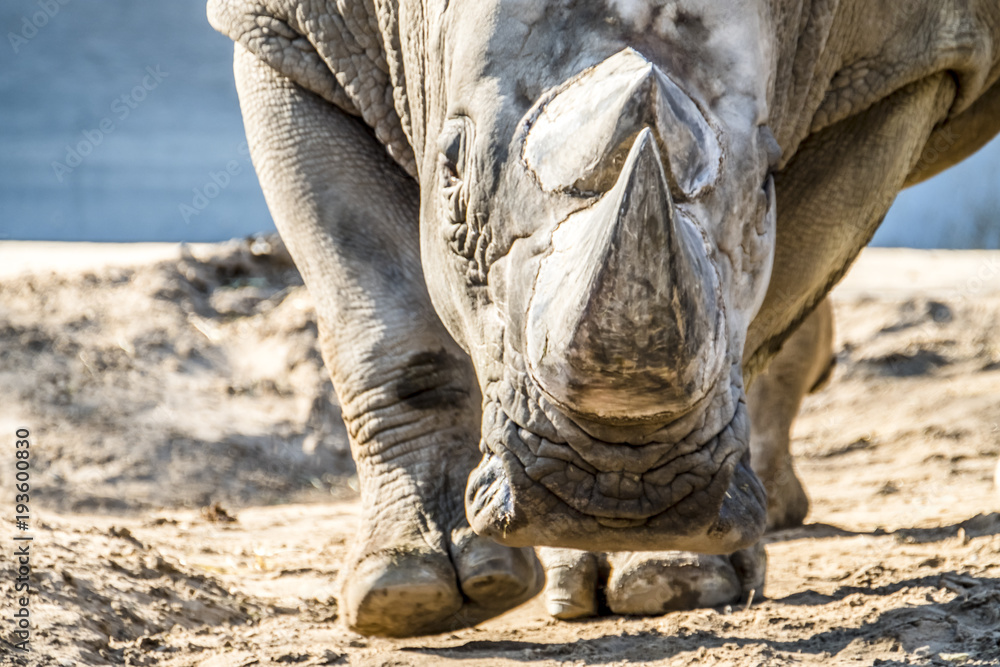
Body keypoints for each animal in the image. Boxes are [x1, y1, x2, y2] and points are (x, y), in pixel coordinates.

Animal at [208, 0, 1000, 636]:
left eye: (766, 189)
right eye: (452, 169)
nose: (615, 486)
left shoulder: (906, 64)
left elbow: (774, 300)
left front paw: (673, 574)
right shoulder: (291, 34)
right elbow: (378, 311)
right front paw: (410, 594)